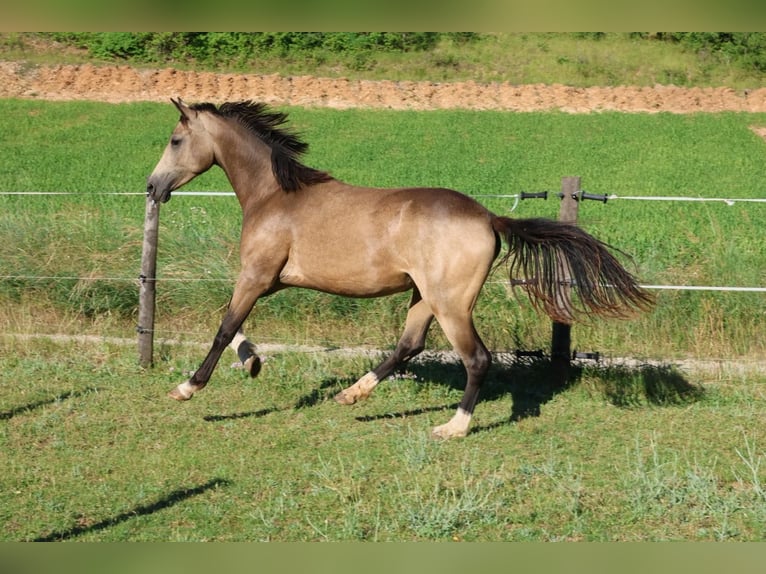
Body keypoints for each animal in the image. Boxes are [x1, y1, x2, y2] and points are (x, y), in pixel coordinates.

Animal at [146, 98, 653, 439]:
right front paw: (252, 362)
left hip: (450, 304)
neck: (274, 196)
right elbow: (231, 326)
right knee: (409, 345)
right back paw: (352, 394)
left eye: (175, 140)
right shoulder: (268, 281)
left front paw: (188, 387)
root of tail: (489, 217)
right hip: (422, 295)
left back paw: (453, 428)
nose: (153, 187)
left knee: (476, 358)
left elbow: (223, 326)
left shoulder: (256, 276)